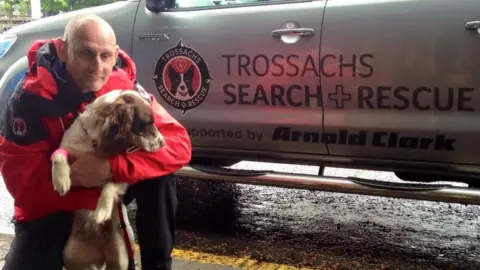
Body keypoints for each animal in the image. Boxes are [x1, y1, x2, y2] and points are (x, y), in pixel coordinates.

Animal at [49, 89, 164, 270]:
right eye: (147, 123)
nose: (163, 143)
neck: (95, 141)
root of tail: (100, 255)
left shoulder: (119, 177)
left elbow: (109, 187)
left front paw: (102, 211)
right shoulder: (70, 148)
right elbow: (58, 155)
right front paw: (61, 180)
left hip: (122, 252)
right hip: (69, 255)